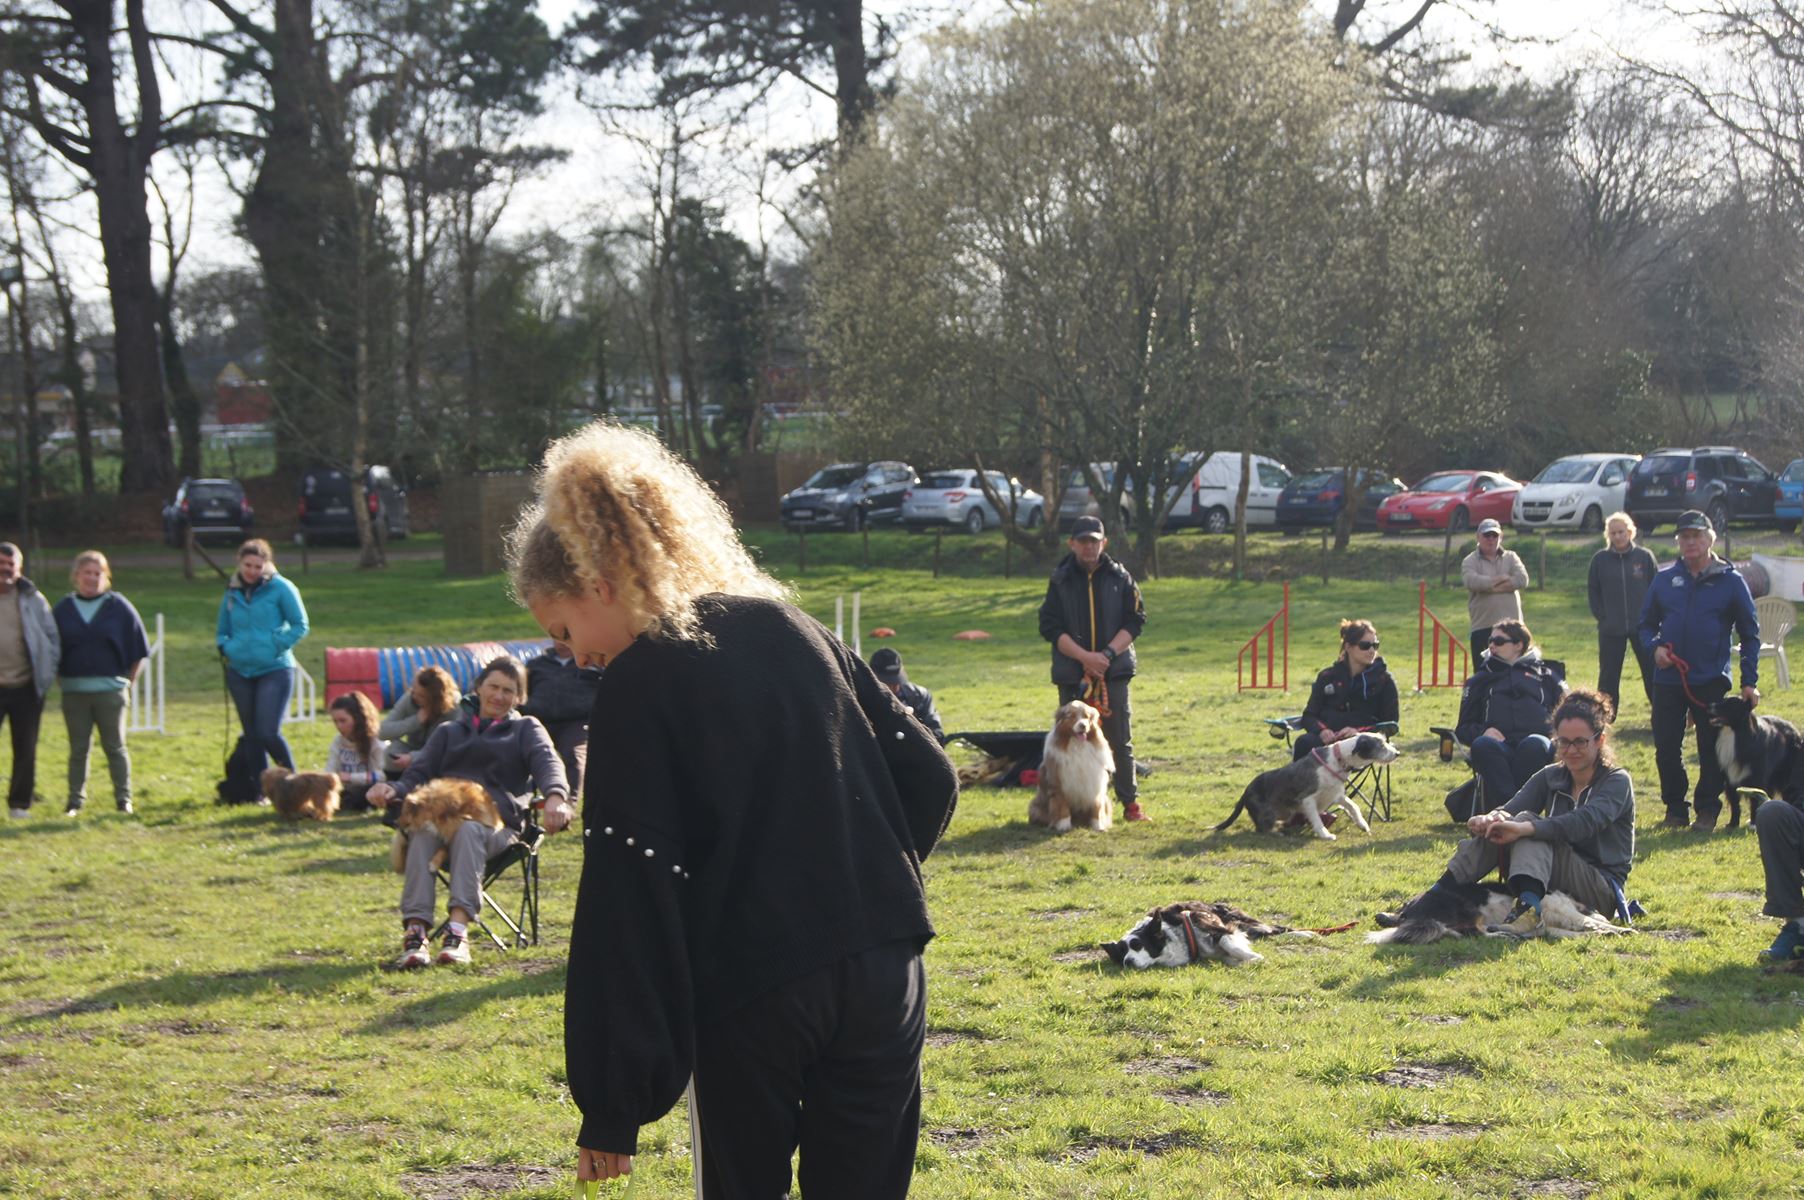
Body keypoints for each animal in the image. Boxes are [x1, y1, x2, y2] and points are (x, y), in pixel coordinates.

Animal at [1031, 696, 1111, 830]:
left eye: (1086, 716)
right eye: (1071, 716)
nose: (1083, 725)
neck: (1077, 746)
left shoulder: (1095, 781)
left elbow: (1096, 806)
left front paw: (1098, 826)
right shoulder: (1060, 783)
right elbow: (1063, 806)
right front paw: (1064, 826)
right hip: (1036, 806)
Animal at [1089, 898, 1349, 967]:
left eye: (1137, 945)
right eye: (1121, 954)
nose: (1128, 962)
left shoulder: (1216, 928)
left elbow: (1229, 943)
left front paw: (1255, 958)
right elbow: (1229, 955)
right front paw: (1245, 961)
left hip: (1244, 922)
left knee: (1277, 928)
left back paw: (1307, 935)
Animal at [1219, 725, 1399, 837]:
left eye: (1385, 742)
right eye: (1381, 746)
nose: (1397, 753)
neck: (1338, 759)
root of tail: (1245, 791)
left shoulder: (1335, 794)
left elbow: (1353, 806)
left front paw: (1363, 825)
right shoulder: (1308, 798)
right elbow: (1316, 819)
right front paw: (1326, 835)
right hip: (1268, 813)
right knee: (1261, 829)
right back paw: (1277, 833)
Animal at [1702, 692, 1804, 822]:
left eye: (1729, 704)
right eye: (1723, 700)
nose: (1708, 706)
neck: (1736, 733)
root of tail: (1794, 729)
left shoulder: (1758, 777)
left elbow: (1755, 799)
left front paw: (1754, 822)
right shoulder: (1730, 776)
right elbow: (1735, 802)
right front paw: (1732, 823)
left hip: (1785, 773)